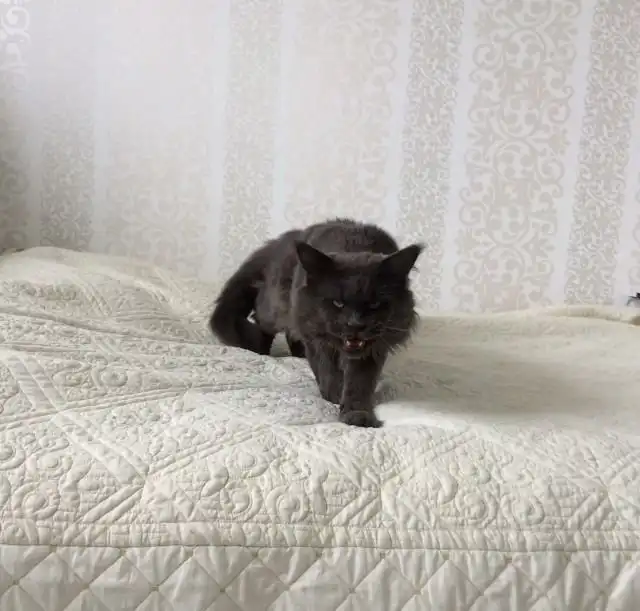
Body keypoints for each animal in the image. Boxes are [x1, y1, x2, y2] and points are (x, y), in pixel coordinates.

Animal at [210, 218, 422, 428]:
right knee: (261, 315)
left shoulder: (374, 348)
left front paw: (357, 414)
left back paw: (298, 354)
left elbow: (360, 383)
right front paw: (334, 396)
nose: (355, 324)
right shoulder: (316, 337)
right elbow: (327, 370)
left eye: (375, 304)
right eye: (338, 303)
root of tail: (290, 237)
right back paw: (260, 348)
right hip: (277, 305)